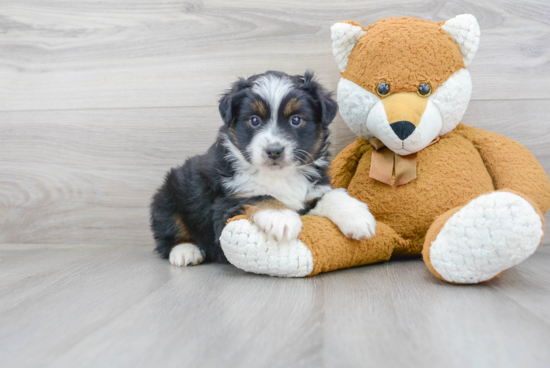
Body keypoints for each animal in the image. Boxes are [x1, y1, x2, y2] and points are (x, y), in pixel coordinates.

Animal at [149, 70, 378, 266]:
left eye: (296, 120)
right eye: (254, 120)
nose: (274, 151)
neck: (279, 176)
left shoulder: (312, 191)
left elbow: (330, 195)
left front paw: (357, 217)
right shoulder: (224, 204)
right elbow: (260, 195)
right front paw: (281, 218)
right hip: (168, 196)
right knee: (170, 233)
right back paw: (185, 251)